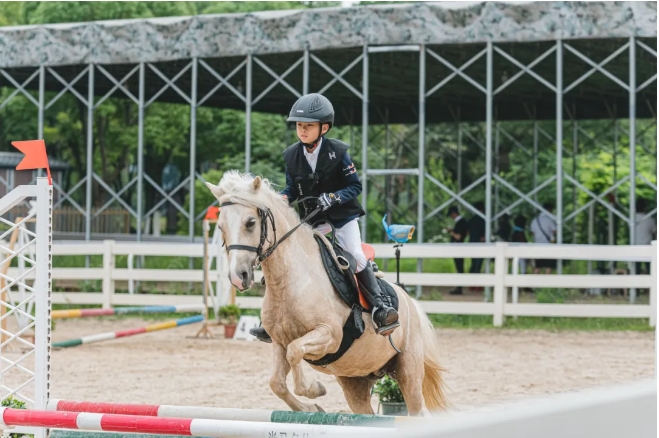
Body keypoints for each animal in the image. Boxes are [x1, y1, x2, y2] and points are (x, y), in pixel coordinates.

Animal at [206, 170, 448, 414]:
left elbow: (295, 351)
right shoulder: (279, 342)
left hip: (408, 371)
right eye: (220, 227)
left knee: (416, 408)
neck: (288, 280)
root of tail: (410, 302)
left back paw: (385, 313)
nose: (238, 277)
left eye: (251, 222)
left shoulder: (329, 335)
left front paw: (315, 389)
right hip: (356, 381)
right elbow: (277, 382)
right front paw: (310, 408)